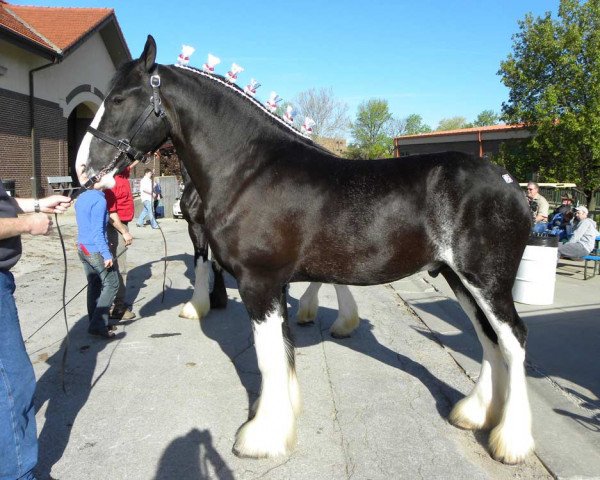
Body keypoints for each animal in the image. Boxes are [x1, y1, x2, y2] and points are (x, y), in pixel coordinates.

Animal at [76, 35, 536, 464]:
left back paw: (511, 441)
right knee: (488, 338)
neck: (250, 170)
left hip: (487, 281)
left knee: (513, 339)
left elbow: (267, 357)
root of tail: (510, 183)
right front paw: (280, 418)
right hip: (459, 279)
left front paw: (260, 437)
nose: (83, 168)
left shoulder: (259, 283)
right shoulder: (274, 285)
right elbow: (282, 353)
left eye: (118, 99)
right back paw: (475, 414)